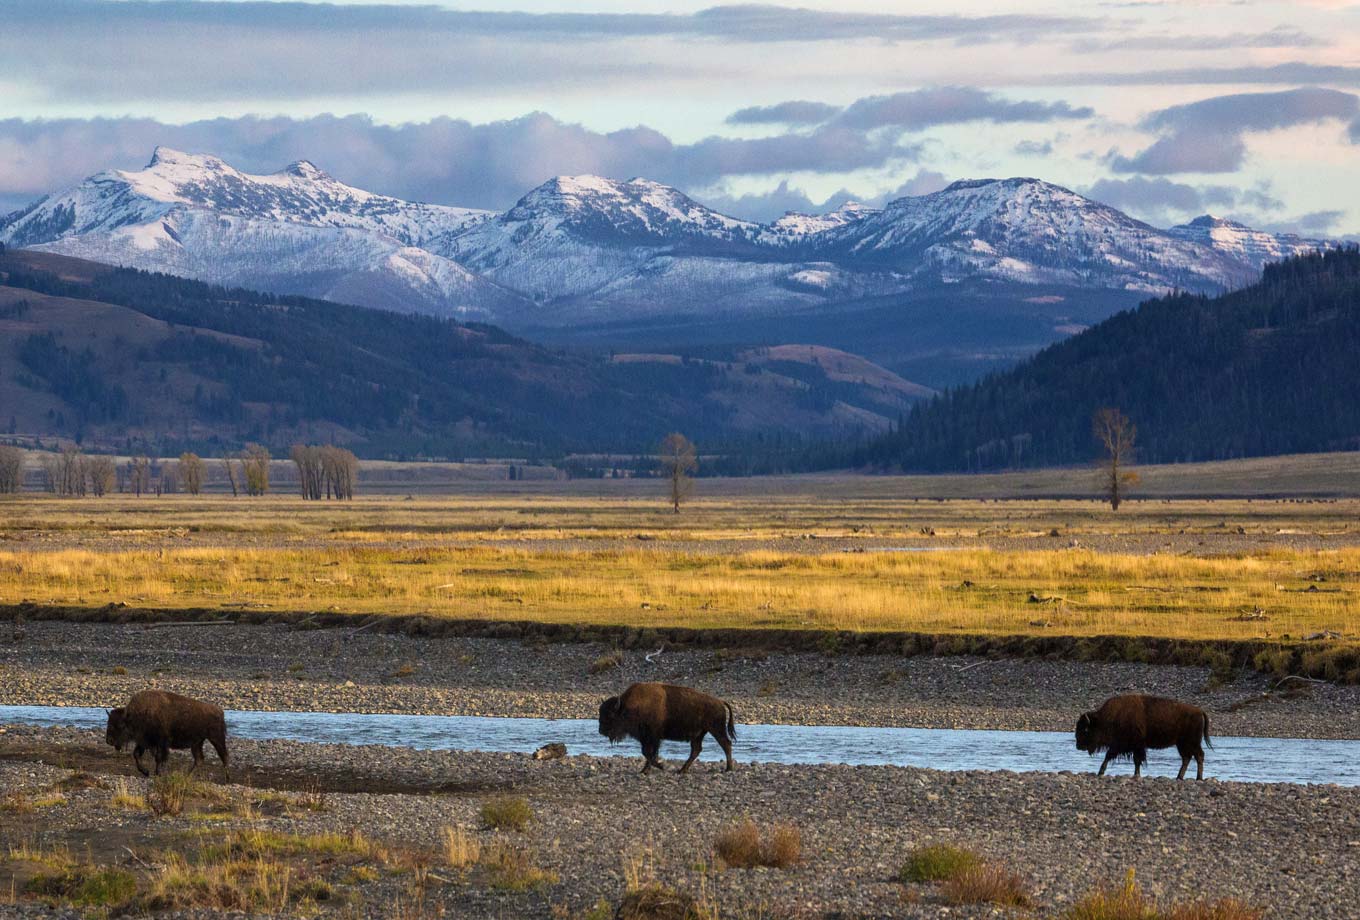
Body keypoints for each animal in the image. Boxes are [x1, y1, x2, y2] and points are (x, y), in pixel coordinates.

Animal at [598, 682, 735, 774]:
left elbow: (649, 753)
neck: (628, 707)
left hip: (716, 730)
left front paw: (660, 766)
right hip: (699, 734)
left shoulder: (653, 737)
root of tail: (720, 702)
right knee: (696, 750)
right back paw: (682, 770)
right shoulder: (645, 738)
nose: (601, 731)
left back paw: (728, 768)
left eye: (610, 715)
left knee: (726, 744)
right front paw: (645, 770)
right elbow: (646, 753)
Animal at [1075, 694, 1210, 780]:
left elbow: (1131, 759)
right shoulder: (1124, 745)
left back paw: (1198, 778)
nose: (1078, 746)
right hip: (1181, 744)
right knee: (1187, 758)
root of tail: (1200, 711)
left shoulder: (1132, 745)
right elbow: (1126, 758)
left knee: (1198, 756)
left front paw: (1101, 772)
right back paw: (1179, 777)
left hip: (1191, 742)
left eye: (1085, 730)